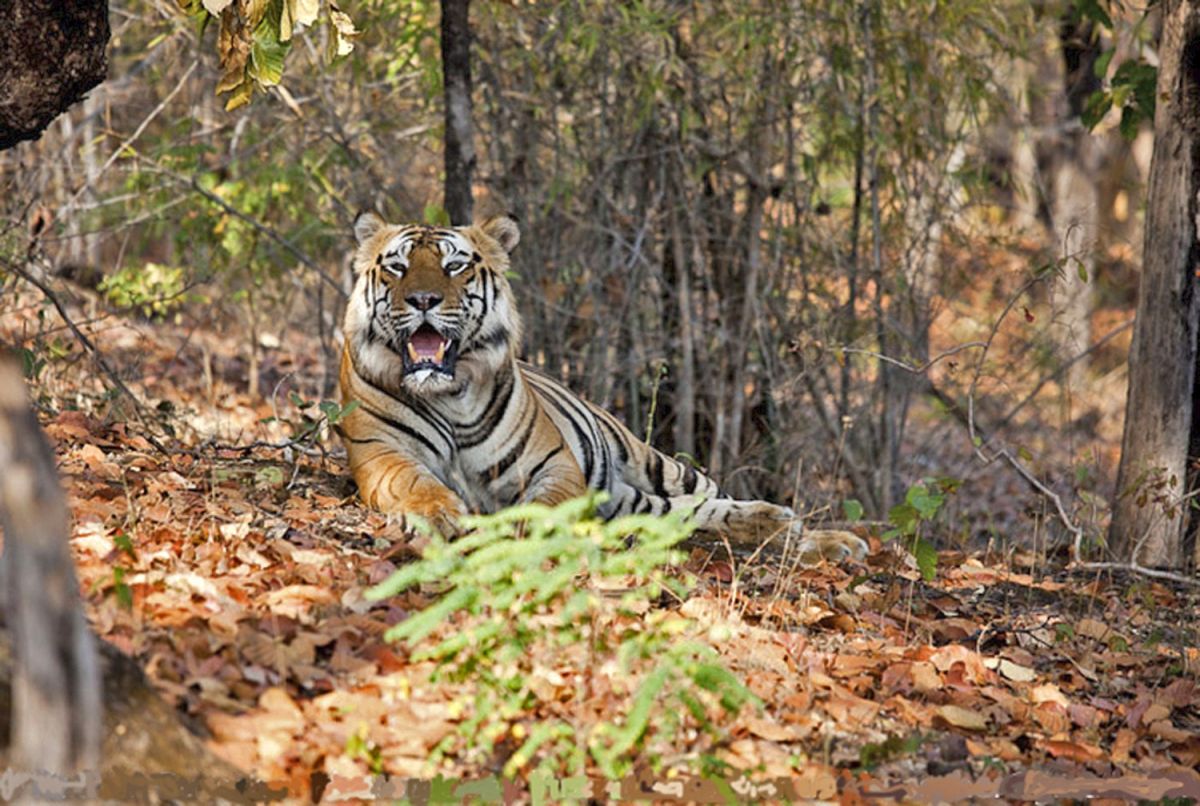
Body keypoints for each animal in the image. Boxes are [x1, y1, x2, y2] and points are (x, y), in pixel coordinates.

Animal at [337, 212, 868, 563]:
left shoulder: (552, 464)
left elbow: (548, 502)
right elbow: (421, 486)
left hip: (657, 463)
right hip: (637, 499)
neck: (447, 394)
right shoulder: (383, 454)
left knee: (711, 496)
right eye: (398, 267)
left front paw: (528, 528)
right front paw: (443, 517)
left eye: (454, 267)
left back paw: (824, 538)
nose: (423, 299)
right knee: (686, 513)